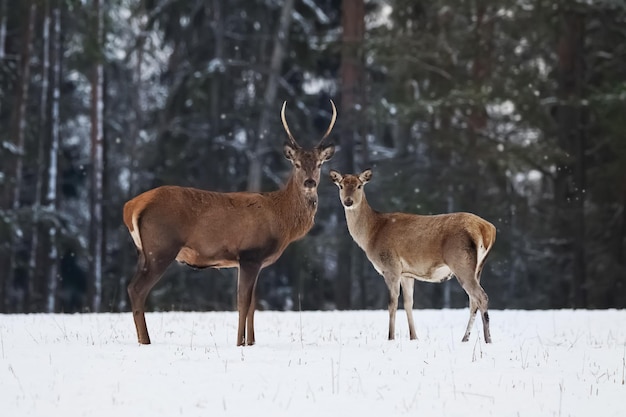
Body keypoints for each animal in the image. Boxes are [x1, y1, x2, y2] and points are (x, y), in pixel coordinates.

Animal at [123, 100, 336, 344]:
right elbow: (243, 302)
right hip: (161, 247)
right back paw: (145, 341)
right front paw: (239, 343)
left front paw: (251, 342)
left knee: (132, 286)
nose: (310, 182)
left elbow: (253, 305)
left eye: (319, 164)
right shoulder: (250, 254)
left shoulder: (254, 261)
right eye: (297, 164)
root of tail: (131, 207)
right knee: (137, 289)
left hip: (143, 252)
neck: (281, 219)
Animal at [330, 167, 494, 342]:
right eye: (341, 186)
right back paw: (465, 339)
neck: (371, 234)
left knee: (481, 297)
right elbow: (409, 303)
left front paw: (390, 337)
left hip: (461, 262)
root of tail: (487, 229)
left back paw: (487, 340)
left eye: (359, 186)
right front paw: (414, 337)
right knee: (473, 301)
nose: (348, 201)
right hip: (478, 267)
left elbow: (392, 303)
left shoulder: (391, 267)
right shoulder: (407, 273)